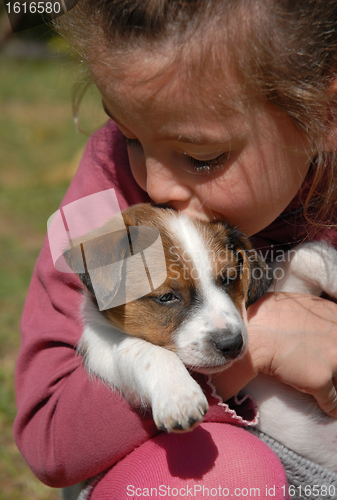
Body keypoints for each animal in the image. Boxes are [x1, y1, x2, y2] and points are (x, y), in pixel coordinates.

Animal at [63, 202, 336, 468]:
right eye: (166, 297)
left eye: (229, 278)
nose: (232, 344)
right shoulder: (101, 349)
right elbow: (137, 348)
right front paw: (178, 394)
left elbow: (309, 254)